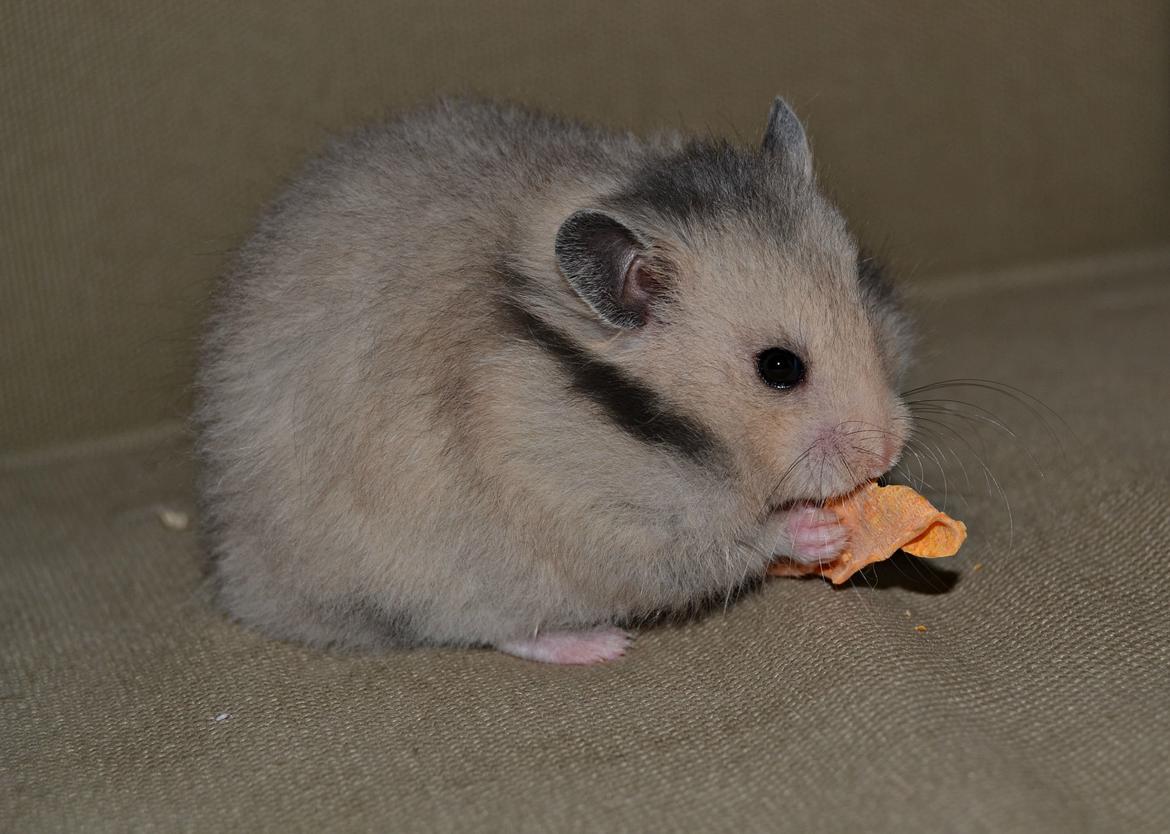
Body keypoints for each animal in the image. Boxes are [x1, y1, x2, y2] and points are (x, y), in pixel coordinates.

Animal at [195, 97, 912, 665]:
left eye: (865, 307)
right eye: (778, 368)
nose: (886, 453)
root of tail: (239, 577)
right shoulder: (603, 514)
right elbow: (731, 538)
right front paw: (818, 531)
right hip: (456, 578)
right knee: (496, 627)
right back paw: (598, 646)